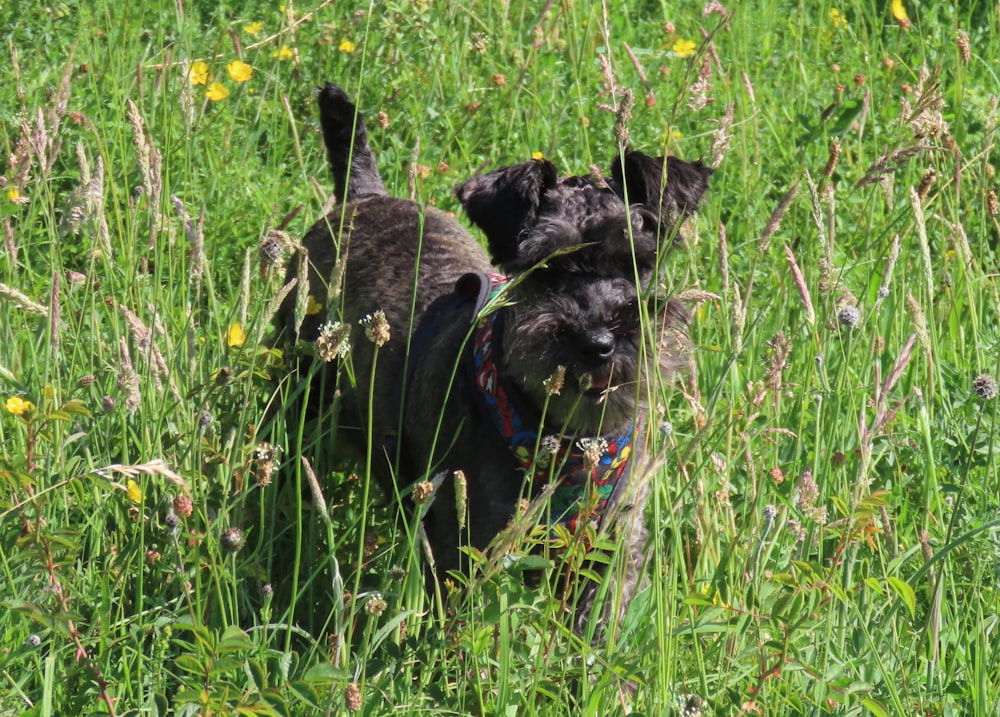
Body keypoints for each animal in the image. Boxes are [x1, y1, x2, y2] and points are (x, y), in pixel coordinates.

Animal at [274, 84, 712, 628]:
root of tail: (363, 195)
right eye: (544, 266)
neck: (563, 440)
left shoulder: (610, 547)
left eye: (638, 262)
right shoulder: (464, 552)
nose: (598, 343)